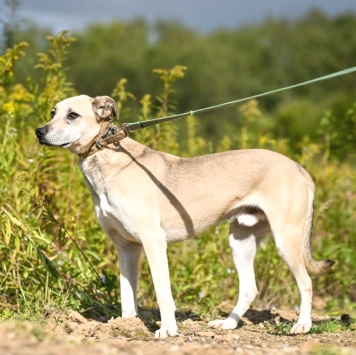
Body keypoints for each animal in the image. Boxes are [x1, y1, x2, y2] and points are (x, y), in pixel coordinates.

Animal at [34, 94, 332, 340]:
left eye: (73, 115)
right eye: (53, 112)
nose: (39, 131)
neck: (107, 155)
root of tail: (299, 167)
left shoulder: (153, 242)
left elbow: (162, 292)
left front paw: (167, 330)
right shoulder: (126, 248)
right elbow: (127, 295)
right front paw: (126, 325)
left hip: (287, 239)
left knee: (306, 282)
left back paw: (302, 325)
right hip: (241, 241)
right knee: (249, 288)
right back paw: (228, 324)